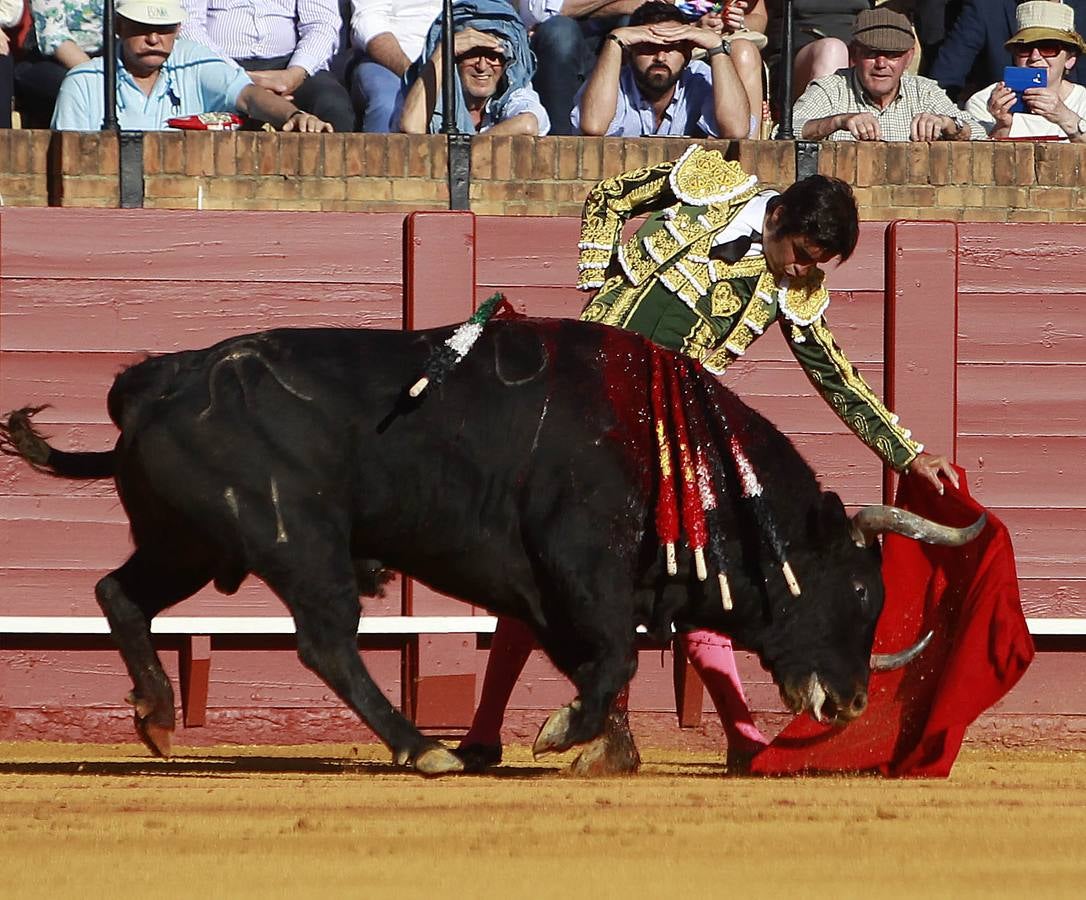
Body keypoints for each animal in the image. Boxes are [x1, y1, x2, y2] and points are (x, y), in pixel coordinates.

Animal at [2, 317, 986, 772]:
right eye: (858, 592)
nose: (851, 704)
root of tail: (158, 380)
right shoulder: (579, 569)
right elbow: (613, 660)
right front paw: (564, 734)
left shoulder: (554, 591)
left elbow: (598, 661)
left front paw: (599, 746)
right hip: (298, 544)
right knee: (327, 642)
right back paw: (419, 747)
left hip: (190, 544)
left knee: (119, 594)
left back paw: (158, 718)